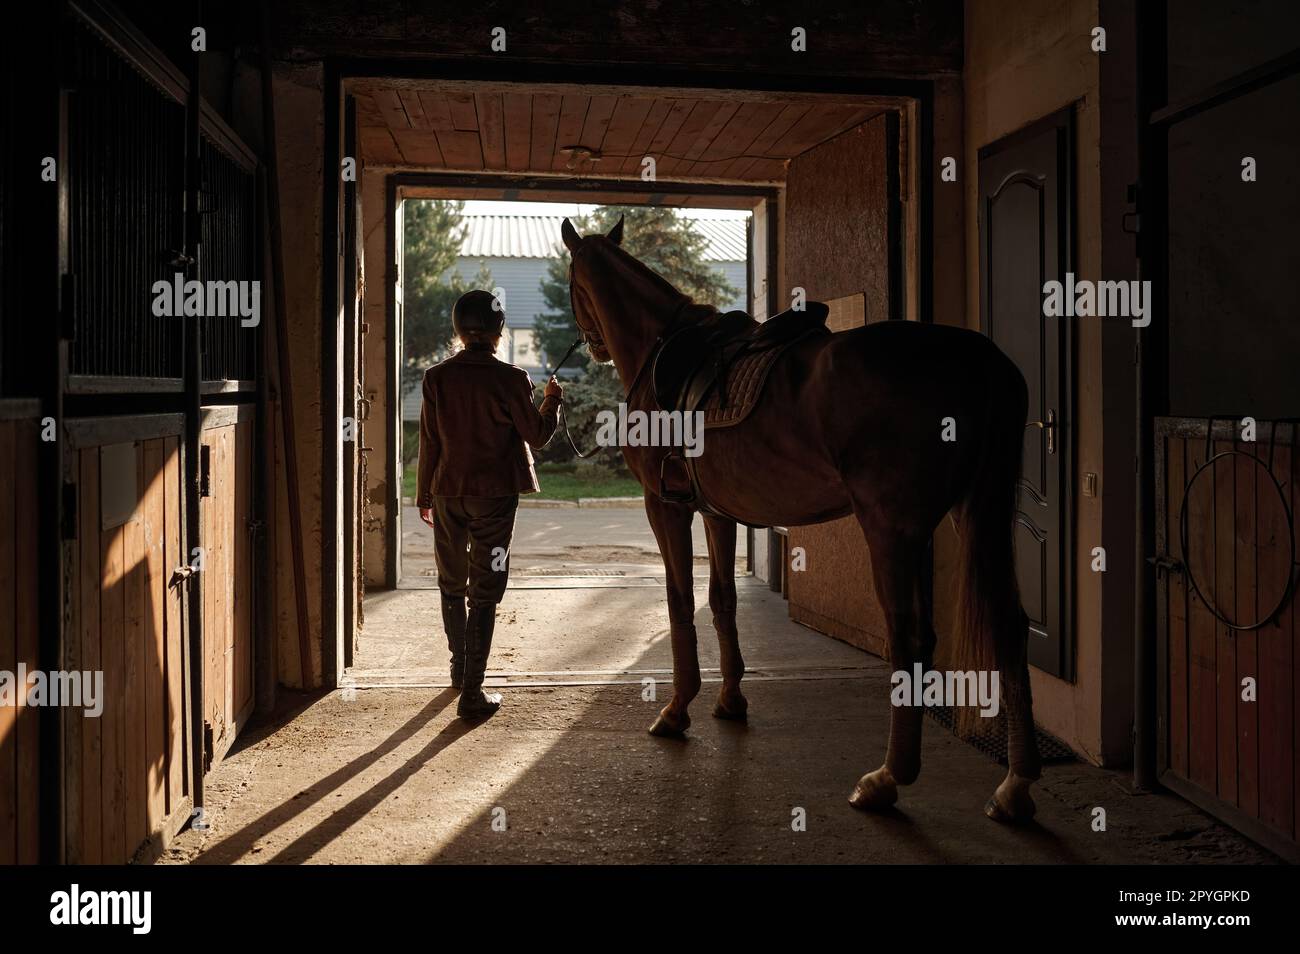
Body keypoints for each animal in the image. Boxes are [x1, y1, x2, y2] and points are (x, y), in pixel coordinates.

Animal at [564, 214, 1040, 821]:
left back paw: (887, 779)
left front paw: (676, 709)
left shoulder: (664, 507)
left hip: (893, 529)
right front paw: (731, 700)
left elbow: (678, 602)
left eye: (573, 284)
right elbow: (722, 601)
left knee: (909, 638)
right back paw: (1015, 787)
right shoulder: (717, 513)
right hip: (974, 515)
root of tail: (980, 363)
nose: (593, 346)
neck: (662, 351)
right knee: (1009, 626)